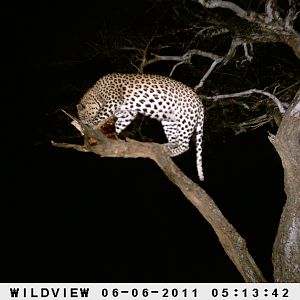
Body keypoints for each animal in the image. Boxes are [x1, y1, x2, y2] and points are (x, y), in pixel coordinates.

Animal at [76, 72, 205, 180]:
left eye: (83, 117)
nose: (82, 121)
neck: (97, 93)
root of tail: (199, 101)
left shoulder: (112, 102)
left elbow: (99, 116)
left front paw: (89, 124)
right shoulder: (128, 112)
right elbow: (119, 123)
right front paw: (112, 133)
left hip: (185, 120)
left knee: (185, 145)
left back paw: (170, 152)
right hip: (169, 121)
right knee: (175, 140)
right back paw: (164, 146)